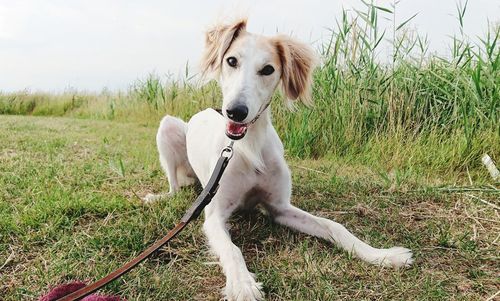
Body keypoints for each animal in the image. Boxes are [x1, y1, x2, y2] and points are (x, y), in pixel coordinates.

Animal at [146, 19, 414, 300]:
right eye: (231, 60)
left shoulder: (279, 208)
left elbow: (334, 226)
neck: (249, 146)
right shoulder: (214, 216)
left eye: (268, 69)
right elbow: (232, 249)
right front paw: (243, 284)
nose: (236, 112)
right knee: (174, 187)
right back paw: (159, 197)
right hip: (168, 127)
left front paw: (383, 256)